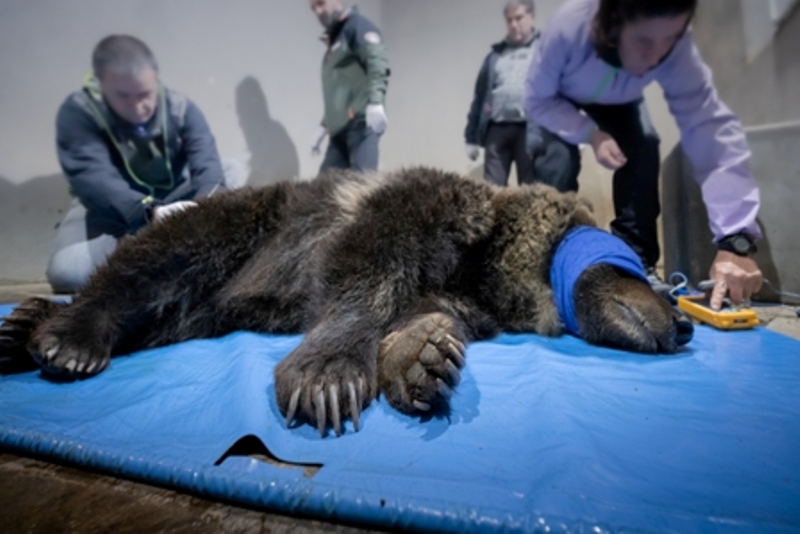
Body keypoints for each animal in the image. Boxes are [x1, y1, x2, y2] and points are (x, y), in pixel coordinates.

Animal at [0, 169, 692, 440]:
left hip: (204, 309)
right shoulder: (423, 205)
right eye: (646, 269)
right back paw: (67, 335)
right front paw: (328, 376)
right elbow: (371, 259)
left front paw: (421, 356)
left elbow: (427, 314)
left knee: (169, 314)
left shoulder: (468, 294)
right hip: (244, 224)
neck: (490, 266)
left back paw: (25, 329)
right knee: (159, 257)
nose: (684, 322)